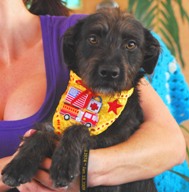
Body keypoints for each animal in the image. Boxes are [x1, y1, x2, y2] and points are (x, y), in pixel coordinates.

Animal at [2, 8, 160, 191]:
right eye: (93, 39)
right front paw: (19, 165)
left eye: (131, 44)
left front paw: (64, 164)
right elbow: (42, 133)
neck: (94, 98)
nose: (109, 72)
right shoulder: (52, 123)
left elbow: (79, 129)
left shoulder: (111, 145)